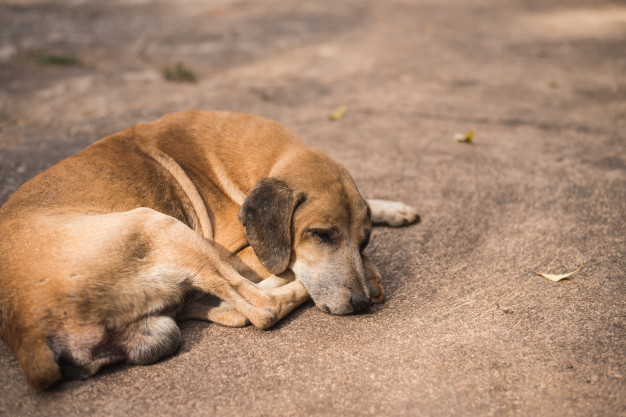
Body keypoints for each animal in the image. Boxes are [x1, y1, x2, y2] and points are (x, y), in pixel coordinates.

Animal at [1, 110, 420, 386]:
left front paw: (390, 210)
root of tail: (25, 333)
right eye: (321, 234)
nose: (362, 302)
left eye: (363, 238)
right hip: (160, 224)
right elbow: (278, 272)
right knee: (260, 308)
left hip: (163, 322)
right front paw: (368, 268)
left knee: (225, 308)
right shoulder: (239, 253)